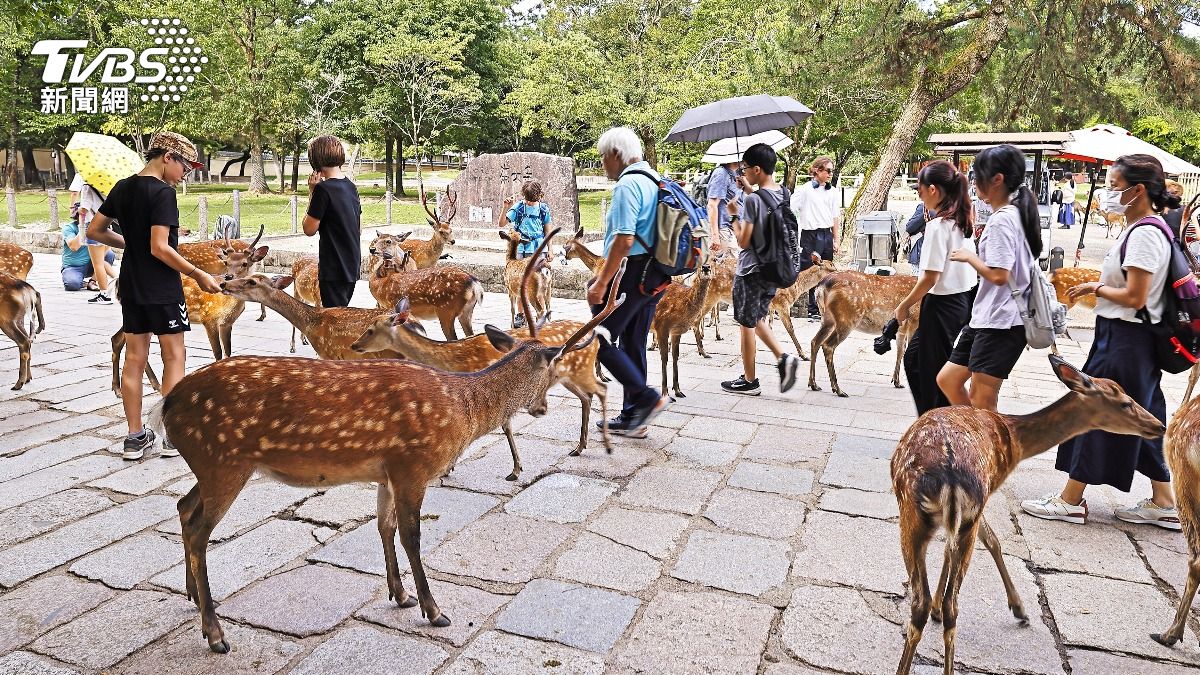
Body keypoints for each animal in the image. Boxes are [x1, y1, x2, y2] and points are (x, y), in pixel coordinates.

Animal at [110, 241, 270, 397]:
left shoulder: (227, 323)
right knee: (121, 341)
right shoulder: (208, 317)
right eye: (226, 262)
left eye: (245, 263)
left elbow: (228, 352)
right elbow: (218, 353)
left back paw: (144, 386)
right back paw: (122, 389)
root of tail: (118, 284)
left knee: (121, 341)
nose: (228, 277)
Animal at [892, 354, 1165, 675]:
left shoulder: (974, 508)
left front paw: (1015, 608)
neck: (1015, 441)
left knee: (930, 603)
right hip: (932, 511)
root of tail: (948, 474)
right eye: (1125, 402)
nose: (1160, 425)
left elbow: (972, 545)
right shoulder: (985, 495)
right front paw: (1020, 610)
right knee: (946, 603)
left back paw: (932, 614)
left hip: (928, 516)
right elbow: (992, 541)